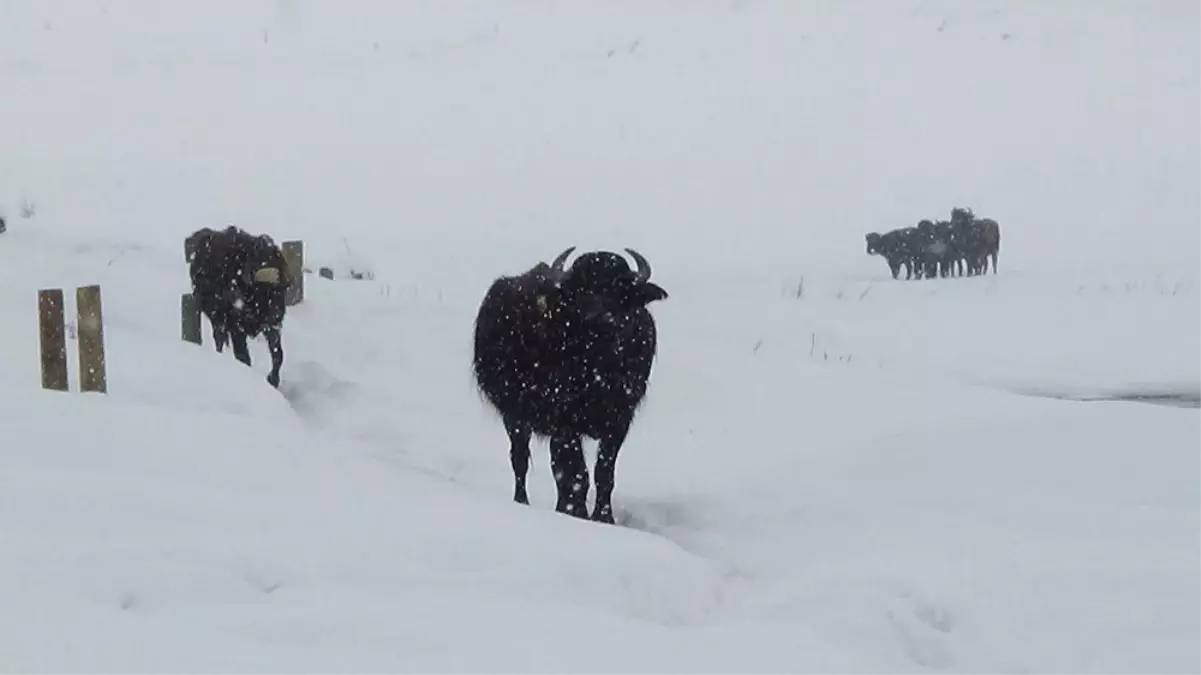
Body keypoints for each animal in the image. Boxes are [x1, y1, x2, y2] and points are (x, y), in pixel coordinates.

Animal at [184, 224, 293, 386]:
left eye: (282, 288)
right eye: (264, 288)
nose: (277, 315)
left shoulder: (271, 328)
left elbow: (278, 354)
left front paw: (273, 380)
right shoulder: (236, 327)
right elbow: (243, 355)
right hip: (217, 319)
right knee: (219, 338)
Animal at [470, 246, 677, 521]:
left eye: (619, 287)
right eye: (580, 290)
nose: (599, 317)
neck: (598, 367)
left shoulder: (620, 420)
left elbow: (603, 472)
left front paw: (604, 517)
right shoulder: (565, 422)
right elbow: (577, 473)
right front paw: (577, 512)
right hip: (514, 417)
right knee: (520, 460)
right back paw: (523, 501)